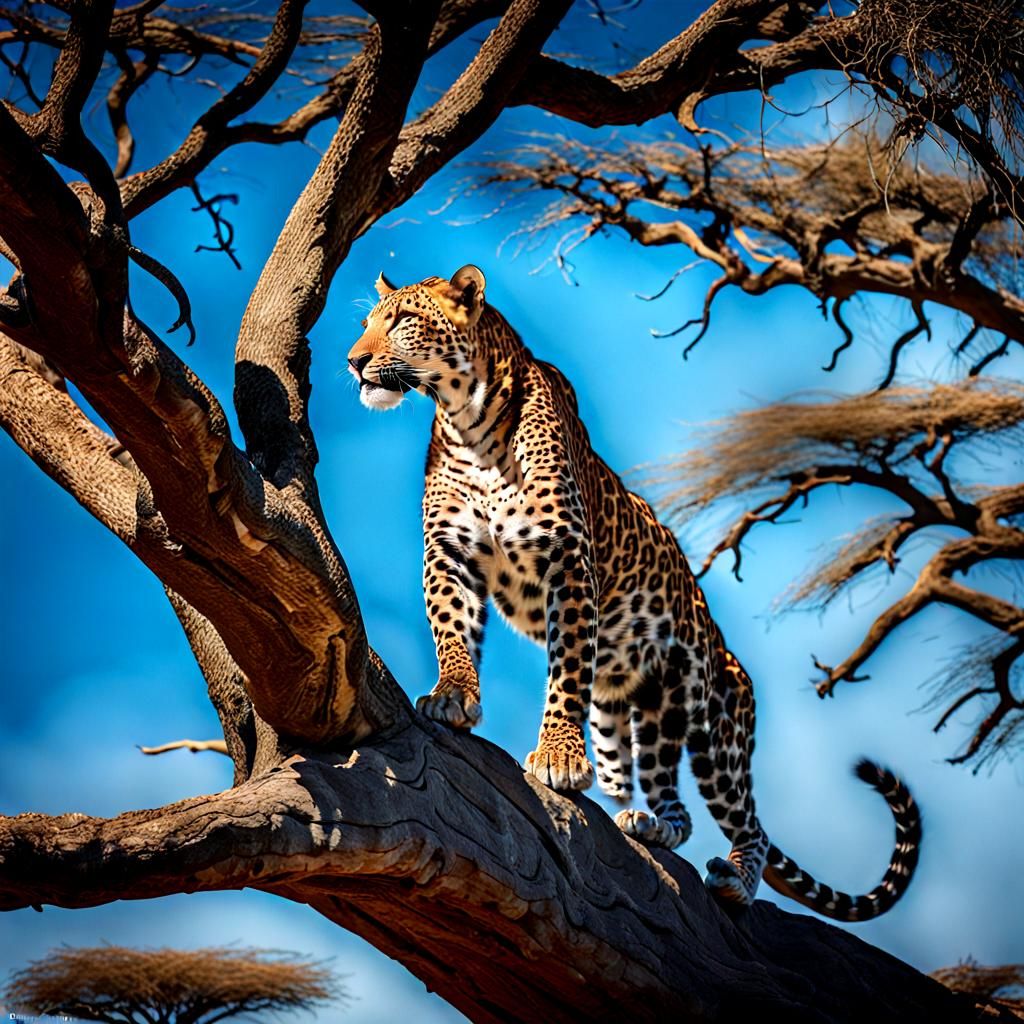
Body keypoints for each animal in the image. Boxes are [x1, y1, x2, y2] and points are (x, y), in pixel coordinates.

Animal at [347, 264, 922, 918]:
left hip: (713, 728)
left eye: (402, 321)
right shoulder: (449, 556)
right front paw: (452, 695)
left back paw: (735, 877)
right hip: (631, 718)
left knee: (749, 821)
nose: (353, 361)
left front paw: (559, 757)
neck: (468, 425)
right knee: (669, 797)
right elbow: (452, 632)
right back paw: (649, 823)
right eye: (366, 322)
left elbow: (565, 675)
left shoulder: (568, 563)